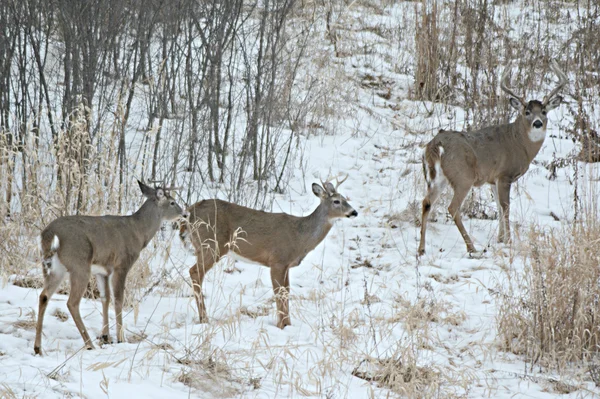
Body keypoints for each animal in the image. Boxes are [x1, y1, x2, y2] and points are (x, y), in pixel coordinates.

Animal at [35, 181, 185, 356]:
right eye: (172, 202)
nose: (184, 213)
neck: (138, 232)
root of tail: (49, 234)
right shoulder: (121, 265)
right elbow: (118, 299)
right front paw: (120, 338)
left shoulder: (103, 271)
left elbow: (105, 298)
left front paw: (106, 336)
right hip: (79, 264)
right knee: (72, 302)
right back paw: (89, 344)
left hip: (53, 268)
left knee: (44, 296)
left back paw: (38, 348)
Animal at [180, 177, 358, 330]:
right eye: (336, 201)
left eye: (345, 198)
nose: (354, 212)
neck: (300, 237)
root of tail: (189, 212)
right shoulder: (278, 260)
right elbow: (279, 293)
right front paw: (282, 325)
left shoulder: (286, 265)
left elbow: (286, 291)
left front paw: (287, 324)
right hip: (212, 244)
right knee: (195, 272)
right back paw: (204, 319)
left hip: (202, 246)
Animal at [418, 61, 568, 258]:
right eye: (527, 111)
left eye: (543, 111)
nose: (537, 123)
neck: (519, 142)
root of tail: (436, 144)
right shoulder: (505, 175)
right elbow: (506, 206)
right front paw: (509, 241)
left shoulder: (493, 179)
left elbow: (498, 206)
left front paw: (500, 239)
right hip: (463, 176)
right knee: (453, 207)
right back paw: (472, 248)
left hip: (437, 177)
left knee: (426, 202)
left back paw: (421, 249)